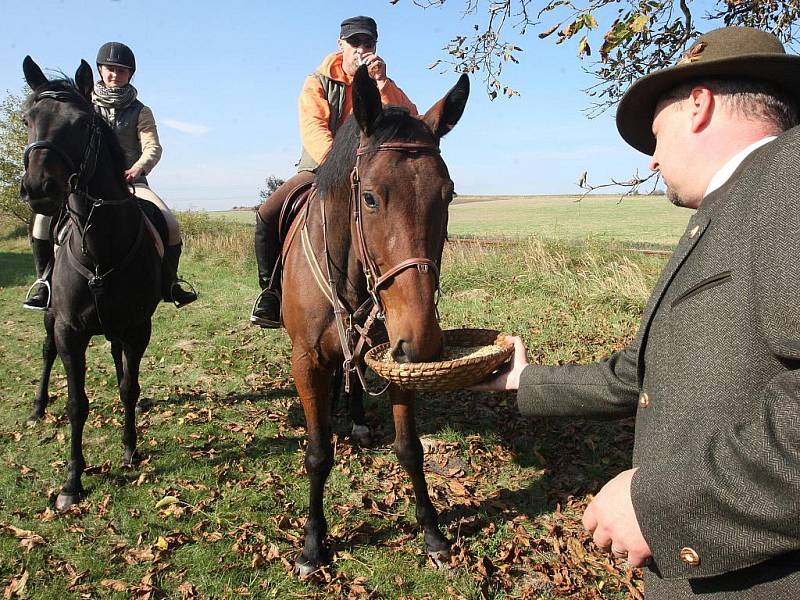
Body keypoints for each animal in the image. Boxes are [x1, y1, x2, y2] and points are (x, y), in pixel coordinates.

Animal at [21, 56, 162, 510]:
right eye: (28, 119)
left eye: (82, 123)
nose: (39, 188)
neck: (101, 248)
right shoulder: (69, 330)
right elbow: (76, 404)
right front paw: (71, 482)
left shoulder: (137, 327)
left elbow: (129, 387)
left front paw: (130, 448)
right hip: (50, 317)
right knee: (46, 352)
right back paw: (37, 409)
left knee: (118, 361)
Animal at [282, 64, 468, 572]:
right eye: (368, 197)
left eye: (448, 194)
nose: (423, 340)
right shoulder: (306, 361)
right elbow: (317, 454)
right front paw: (312, 544)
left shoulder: (396, 358)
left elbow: (410, 449)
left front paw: (432, 532)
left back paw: (358, 419)